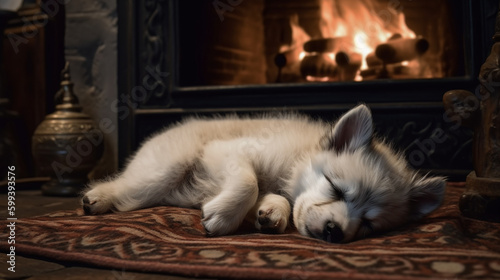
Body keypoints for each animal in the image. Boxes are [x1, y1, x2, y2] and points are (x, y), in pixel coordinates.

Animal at [82, 105, 446, 243]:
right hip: (166, 169)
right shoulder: (226, 152)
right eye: (336, 188)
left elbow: (269, 196)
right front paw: (224, 217)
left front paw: (272, 213)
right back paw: (98, 198)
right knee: (127, 187)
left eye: (369, 225)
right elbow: (249, 182)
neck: (295, 160)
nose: (335, 232)